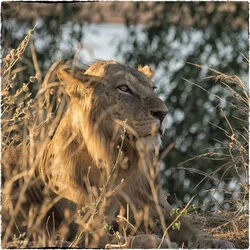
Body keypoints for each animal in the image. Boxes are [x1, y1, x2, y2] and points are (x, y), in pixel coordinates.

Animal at [2, 60, 234, 248]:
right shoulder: (85, 229)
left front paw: (216, 242)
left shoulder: (156, 205)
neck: (119, 158)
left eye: (153, 88)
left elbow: (188, 224)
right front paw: (156, 242)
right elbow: (123, 239)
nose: (163, 113)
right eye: (124, 88)